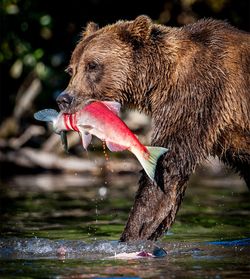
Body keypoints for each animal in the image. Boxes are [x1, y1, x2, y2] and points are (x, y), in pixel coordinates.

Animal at [56, 15, 250, 242]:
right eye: (71, 69)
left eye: (92, 65)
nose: (63, 99)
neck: (158, 81)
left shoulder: (198, 96)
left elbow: (167, 168)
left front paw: (129, 236)